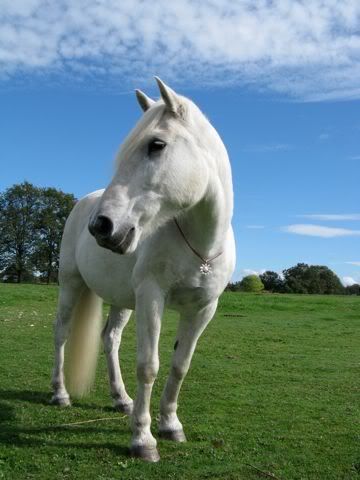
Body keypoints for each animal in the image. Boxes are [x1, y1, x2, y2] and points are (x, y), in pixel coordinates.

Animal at [50, 78, 236, 462]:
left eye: (156, 145)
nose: (102, 227)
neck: (201, 245)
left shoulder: (203, 309)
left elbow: (180, 365)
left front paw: (170, 425)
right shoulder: (152, 297)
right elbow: (149, 366)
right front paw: (143, 439)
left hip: (123, 300)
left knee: (110, 338)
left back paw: (122, 399)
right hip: (70, 285)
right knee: (61, 333)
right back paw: (60, 394)